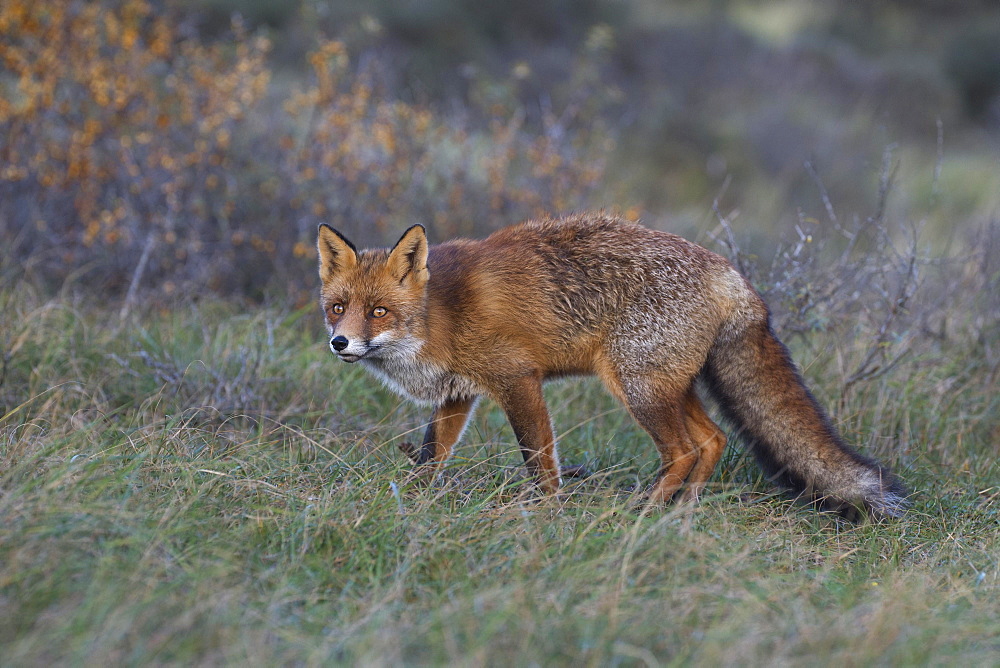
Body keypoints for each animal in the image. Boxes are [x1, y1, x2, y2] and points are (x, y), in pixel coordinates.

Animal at [316, 213, 912, 516]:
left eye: (379, 311)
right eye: (338, 307)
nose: (340, 344)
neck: (440, 314)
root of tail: (733, 276)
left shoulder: (517, 380)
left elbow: (539, 461)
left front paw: (548, 513)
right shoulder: (457, 395)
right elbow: (430, 457)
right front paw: (413, 501)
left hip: (637, 387)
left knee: (685, 449)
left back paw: (647, 510)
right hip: (669, 386)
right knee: (714, 439)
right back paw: (683, 511)